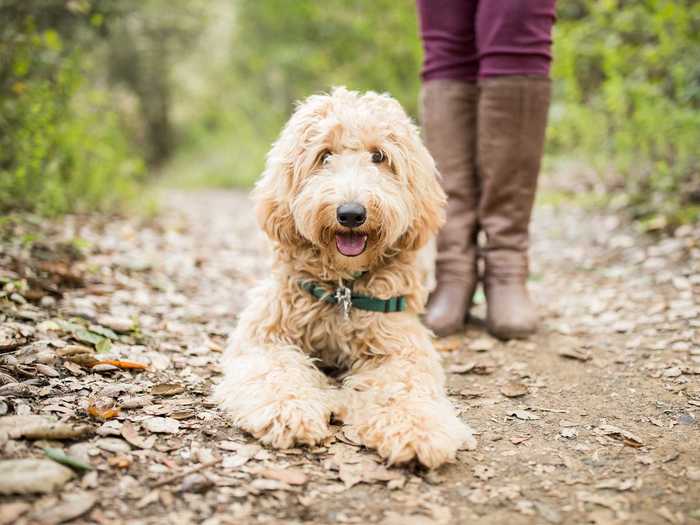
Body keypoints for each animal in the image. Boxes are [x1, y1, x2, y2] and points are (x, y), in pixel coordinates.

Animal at [213, 86, 476, 466]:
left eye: (379, 156)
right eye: (324, 156)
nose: (351, 213)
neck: (342, 290)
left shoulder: (399, 345)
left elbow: (403, 386)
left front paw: (416, 429)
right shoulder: (266, 335)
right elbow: (275, 371)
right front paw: (288, 411)